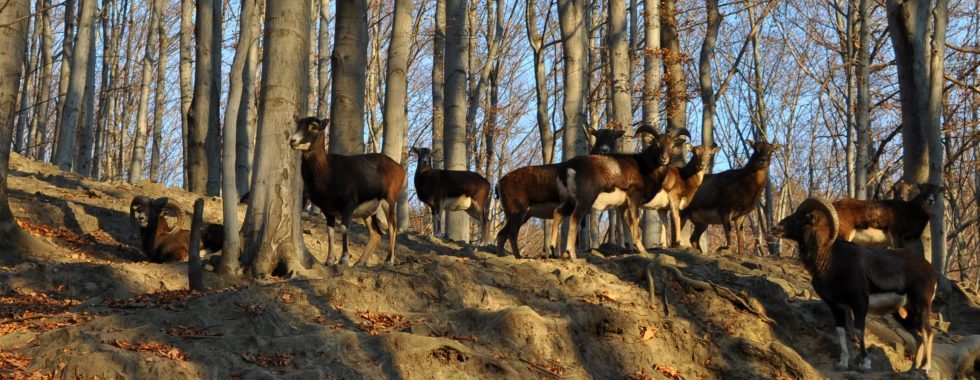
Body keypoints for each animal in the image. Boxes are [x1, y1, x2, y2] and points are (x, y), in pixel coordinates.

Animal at [288, 115, 406, 270]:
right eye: (299, 124)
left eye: (314, 127)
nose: (293, 140)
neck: (329, 173)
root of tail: (400, 169)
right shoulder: (328, 210)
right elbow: (330, 232)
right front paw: (329, 261)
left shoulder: (348, 206)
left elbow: (344, 229)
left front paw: (343, 260)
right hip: (368, 213)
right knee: (377, 233)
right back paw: (359, 263)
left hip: (389, 201)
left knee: (392, 227)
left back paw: (388, 261)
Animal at [772, 197, 936, 372]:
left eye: (799, 217)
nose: (775, 229)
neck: (831, 261)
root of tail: (929, 270)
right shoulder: (835, 306)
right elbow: (841, 333)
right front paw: (843, 364)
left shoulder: (860, 303)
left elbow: (859, 331)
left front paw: (865, 364)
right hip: (902, 314)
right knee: (918, 337)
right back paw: (913, 369)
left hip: (921, 306)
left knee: (928, 332)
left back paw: (925, 367)